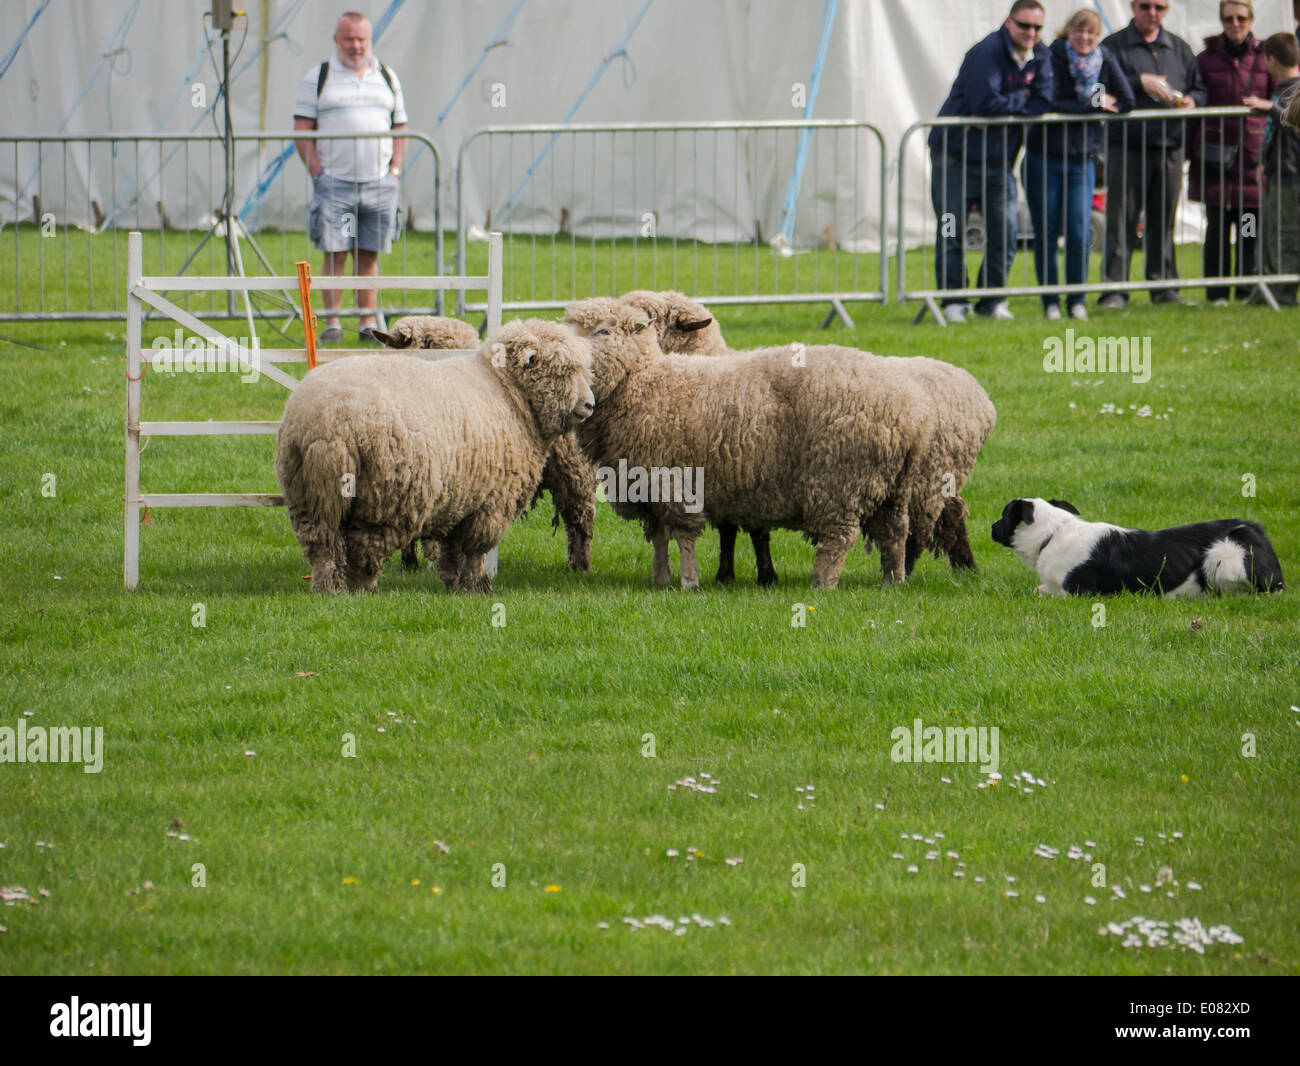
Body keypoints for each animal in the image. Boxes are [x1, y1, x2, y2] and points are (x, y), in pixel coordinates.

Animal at [559, 300, 935, 590]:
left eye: (603, 331)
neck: (642, 383)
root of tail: (914, 412)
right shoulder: (645, 486)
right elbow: (659, 537)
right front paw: (660, 577)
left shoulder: (674, 480)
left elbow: (683, 536)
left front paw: (688, 581)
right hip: (895, 486)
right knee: (895, 532)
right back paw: (893, 581)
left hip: (839, 479)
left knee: (838, 538)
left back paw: (823, 584)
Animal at [993, 499, 1279, 600]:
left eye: (1004, 514)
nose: (991, 526)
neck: (1052, 535)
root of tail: (1255, 528)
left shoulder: (1078, 594)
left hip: (1224, 555)